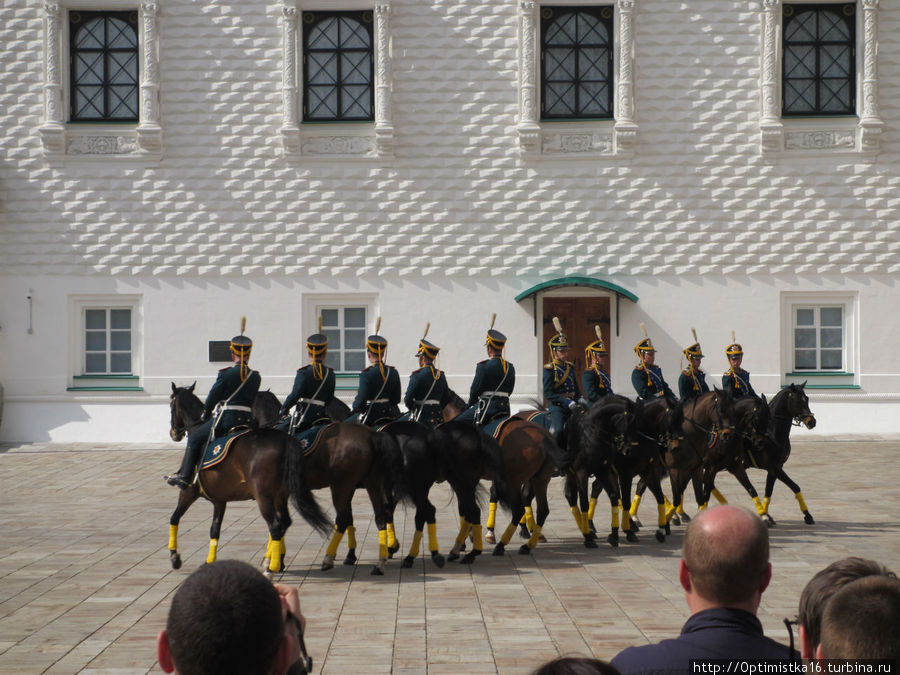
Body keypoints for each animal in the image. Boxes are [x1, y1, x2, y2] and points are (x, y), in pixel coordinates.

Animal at [166, 382, 330, 580]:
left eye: (171, 406)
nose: (173, 433)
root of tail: (285, 440)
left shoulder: (188, 492)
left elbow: (174, 518)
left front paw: (175, 557)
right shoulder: (219, 500)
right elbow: (214, 530)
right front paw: (209, 561)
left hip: (264, 497)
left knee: (275, 526)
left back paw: (270, 568)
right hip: (280, 495)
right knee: (284, 522)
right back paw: (273, 561)